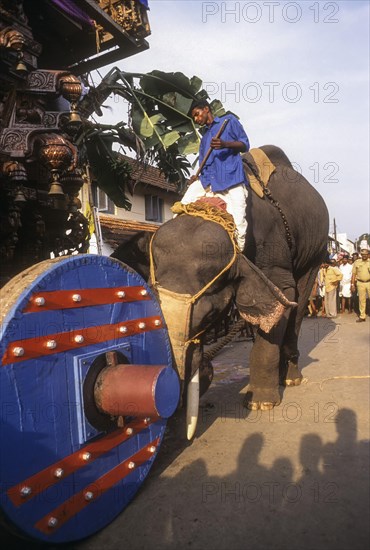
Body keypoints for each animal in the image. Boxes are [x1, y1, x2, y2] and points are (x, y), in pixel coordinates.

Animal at [112, 146, 326, 436]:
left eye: (209, 316)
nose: (206, 370)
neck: (213, 207)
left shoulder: (272, 249)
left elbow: (283, 297)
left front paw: (260, 404)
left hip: (315, 250)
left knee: (300, 301)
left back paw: (291, 378)